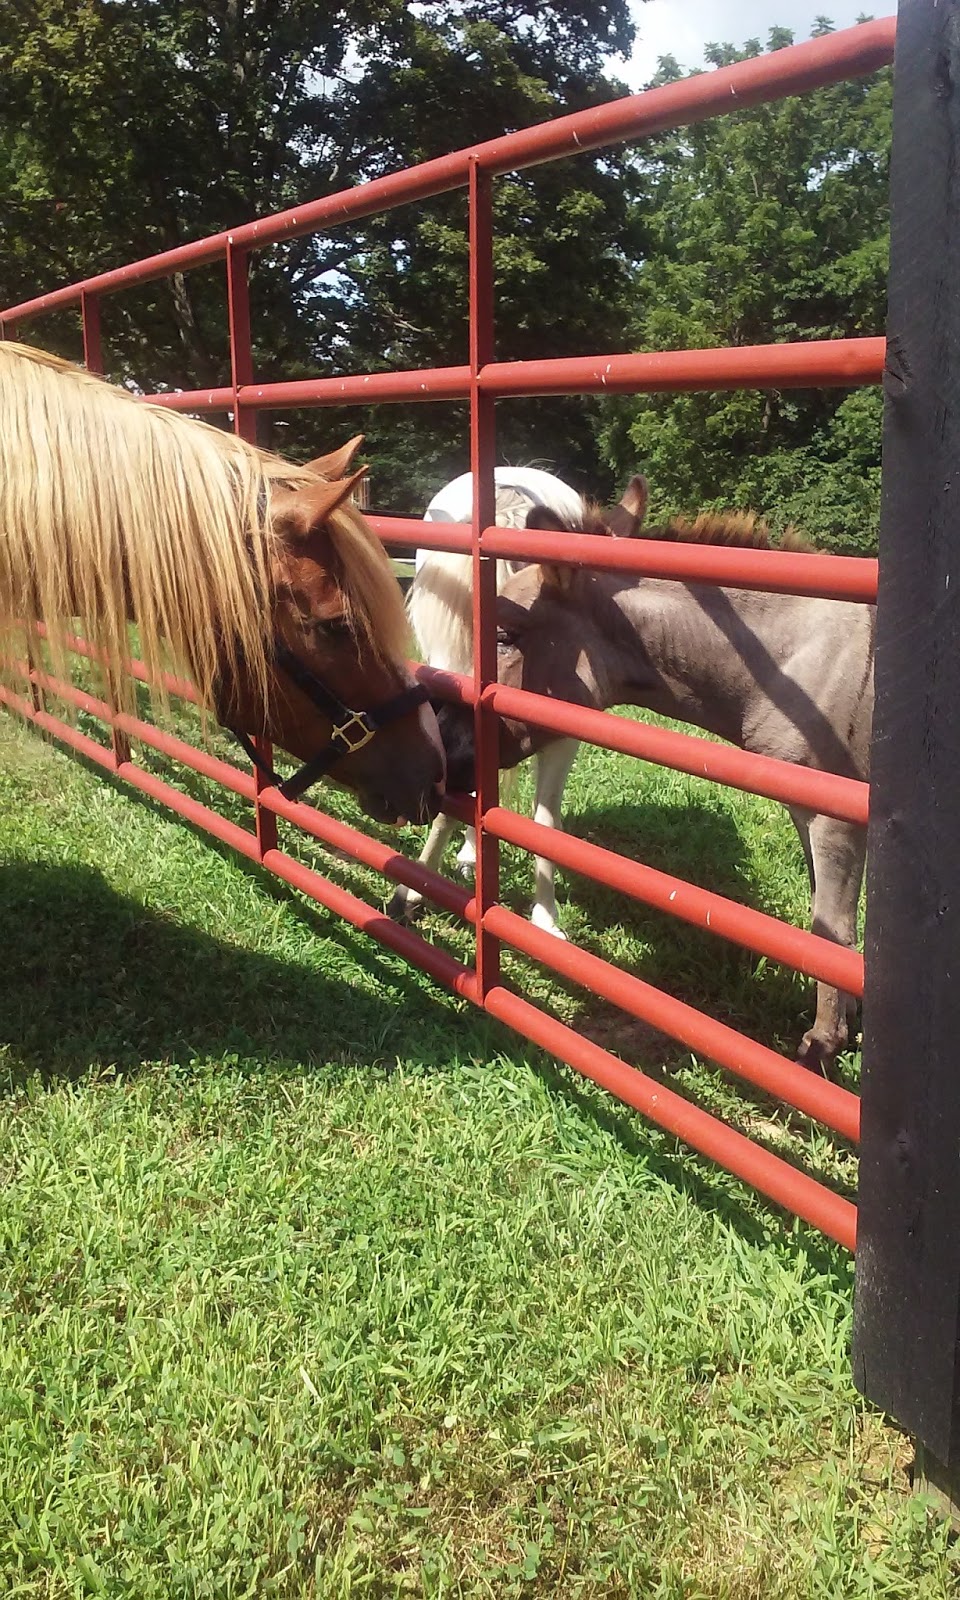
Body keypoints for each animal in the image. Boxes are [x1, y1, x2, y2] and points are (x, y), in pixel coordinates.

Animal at [433, 474, 874, 1074]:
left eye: (503, 635)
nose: (442, 752)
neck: (792, 668)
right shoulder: (813, 815)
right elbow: (829, 929)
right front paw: (845, 1029)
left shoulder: (837, 821)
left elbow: (832, 932)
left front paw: (821, 1049)